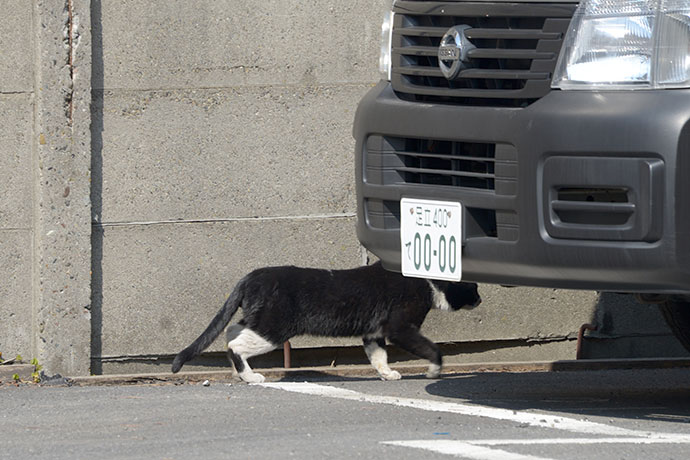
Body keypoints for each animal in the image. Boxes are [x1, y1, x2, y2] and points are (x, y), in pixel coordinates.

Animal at [172, 260, 478, 382]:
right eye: (473, 286)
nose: (480, 299)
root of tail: (249, 277)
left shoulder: (374, 331)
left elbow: (378, 355)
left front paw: (387, 374)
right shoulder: (399, 327)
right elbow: (432, 348)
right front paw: (434, 371)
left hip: (260, 319)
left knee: (233, 331)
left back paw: (238, 373)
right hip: (274, 326)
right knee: (236, 344)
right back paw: (249, 376)